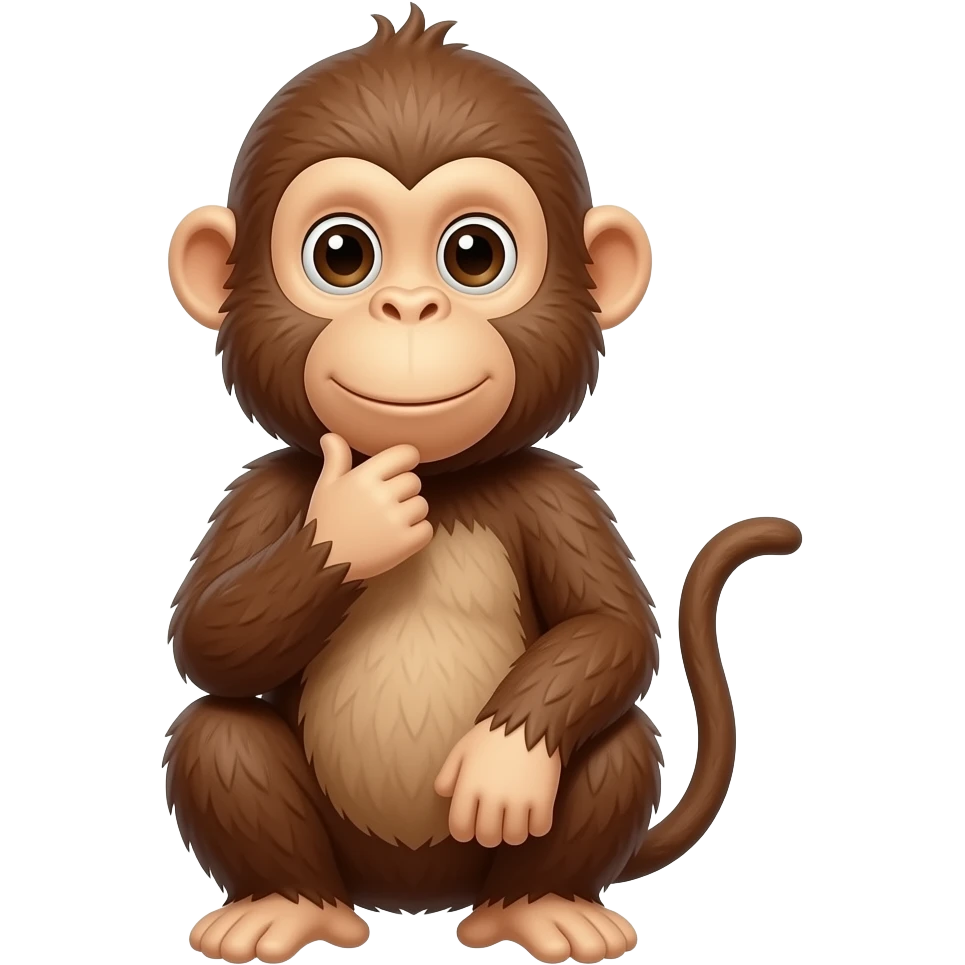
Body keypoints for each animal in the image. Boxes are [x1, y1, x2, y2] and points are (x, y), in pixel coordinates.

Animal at [162, 7, 803, 964]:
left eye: (473, 254)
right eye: (341, 254)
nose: (409, 307)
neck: (438, 476)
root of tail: (412, 899)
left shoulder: (558, 495)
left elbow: (610, 627)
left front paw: (504, 760)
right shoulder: (264, 489)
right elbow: (207, 634)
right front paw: (355, 519)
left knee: (618, 740)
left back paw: (543, 908)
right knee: (218, 728)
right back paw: (285, 906)